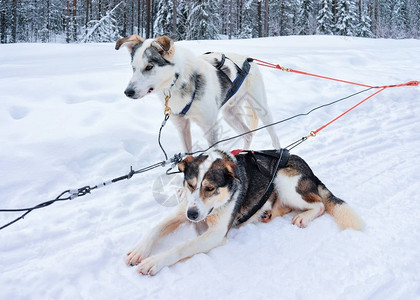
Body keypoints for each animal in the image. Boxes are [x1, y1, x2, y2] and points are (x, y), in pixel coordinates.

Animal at [115, 35, 280, 152]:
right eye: (133, 68)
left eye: (149, 67)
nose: (128, 92)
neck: (179, 81)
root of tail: (248, 59)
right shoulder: (182, 127)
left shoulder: (210, 128)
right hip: (229, 114)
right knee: (248, 134)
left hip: (262, 110)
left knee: (273, 136)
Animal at [124, 149, 364, 276]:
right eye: (191, 185)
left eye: (209, 188)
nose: (192, 216)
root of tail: (308, 170)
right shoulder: (183, 209)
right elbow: (155, 228)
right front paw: (139, 250)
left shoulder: (216, 234)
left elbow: (181, 247)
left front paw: (155, 261)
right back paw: (267, 213)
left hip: (283, 180)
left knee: (319, 204)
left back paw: (303, 216)